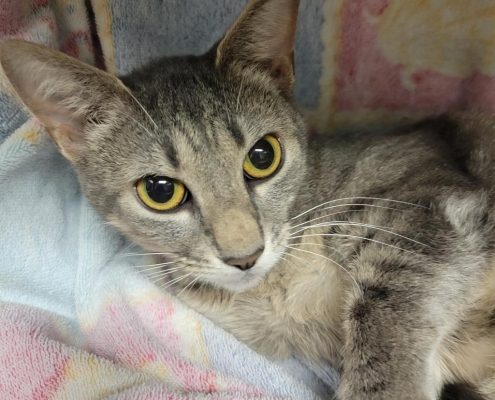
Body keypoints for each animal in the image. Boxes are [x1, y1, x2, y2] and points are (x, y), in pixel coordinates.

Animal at [0, 0, 495, 400]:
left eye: (262, 156)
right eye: (160, 191)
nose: (245, 256)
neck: (276, 290)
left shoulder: (424, 201)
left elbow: (384, 309)